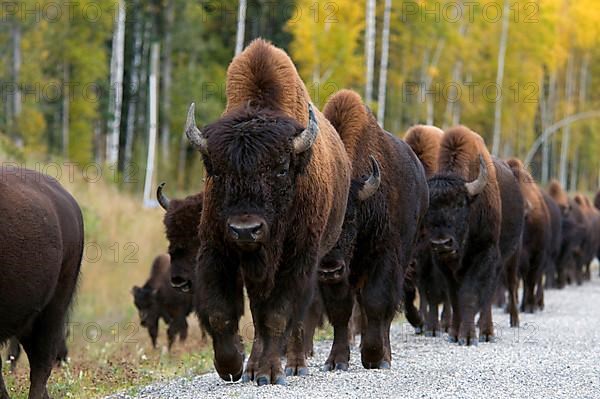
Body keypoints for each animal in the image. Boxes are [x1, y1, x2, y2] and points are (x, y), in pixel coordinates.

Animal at [183, 39, 352, 386]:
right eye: (216, 171)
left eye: (281, 168)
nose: (245, 229)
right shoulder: (217, 249)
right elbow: (222, 313)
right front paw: (233, 366)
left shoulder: (297, 257)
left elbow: (278, 315)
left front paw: (270, 372)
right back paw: (251, 367)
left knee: (293, 319)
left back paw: (294, 364)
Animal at [316, 90, 428, 372]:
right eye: (321, 219)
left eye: (351, 217)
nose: (329, 268)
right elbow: (340, 310)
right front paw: (336, 361)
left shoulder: (385, 256)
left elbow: (377, 302)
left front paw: (375, 356)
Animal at [424, 126, 524, 346]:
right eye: (428, 208)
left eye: (460, 204)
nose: (442, 243)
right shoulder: (443, 263)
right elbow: (454, 297)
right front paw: (454, 333)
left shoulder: (484, 254)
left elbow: (469, 294)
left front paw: (468, 337)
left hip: (510, 258)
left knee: (504, 288)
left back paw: (497, 328)